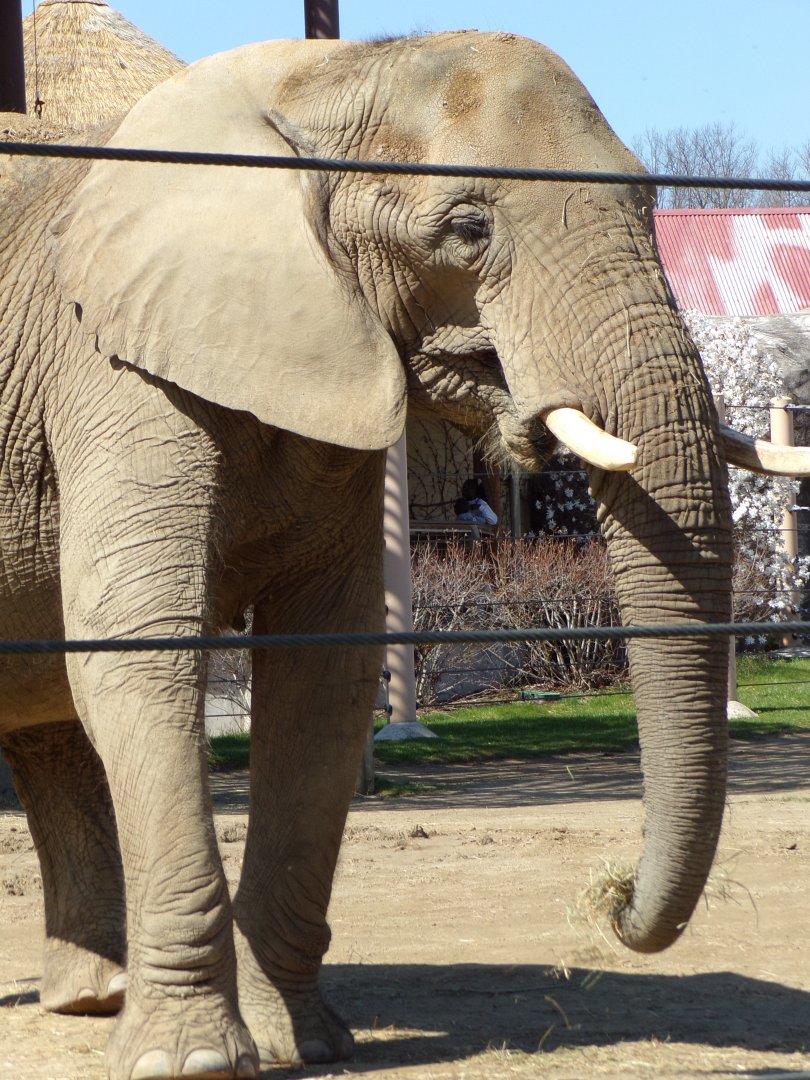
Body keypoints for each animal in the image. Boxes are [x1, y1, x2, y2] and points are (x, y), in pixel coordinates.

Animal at [0, 29, 807, 1080]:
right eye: (467, 228)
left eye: (646, 202)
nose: (613, 900)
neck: (323, 74)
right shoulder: (111, 367)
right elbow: (141, 646)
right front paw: (198, 1062)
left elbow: (325, 671)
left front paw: (306, 1042)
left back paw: (95, 998)